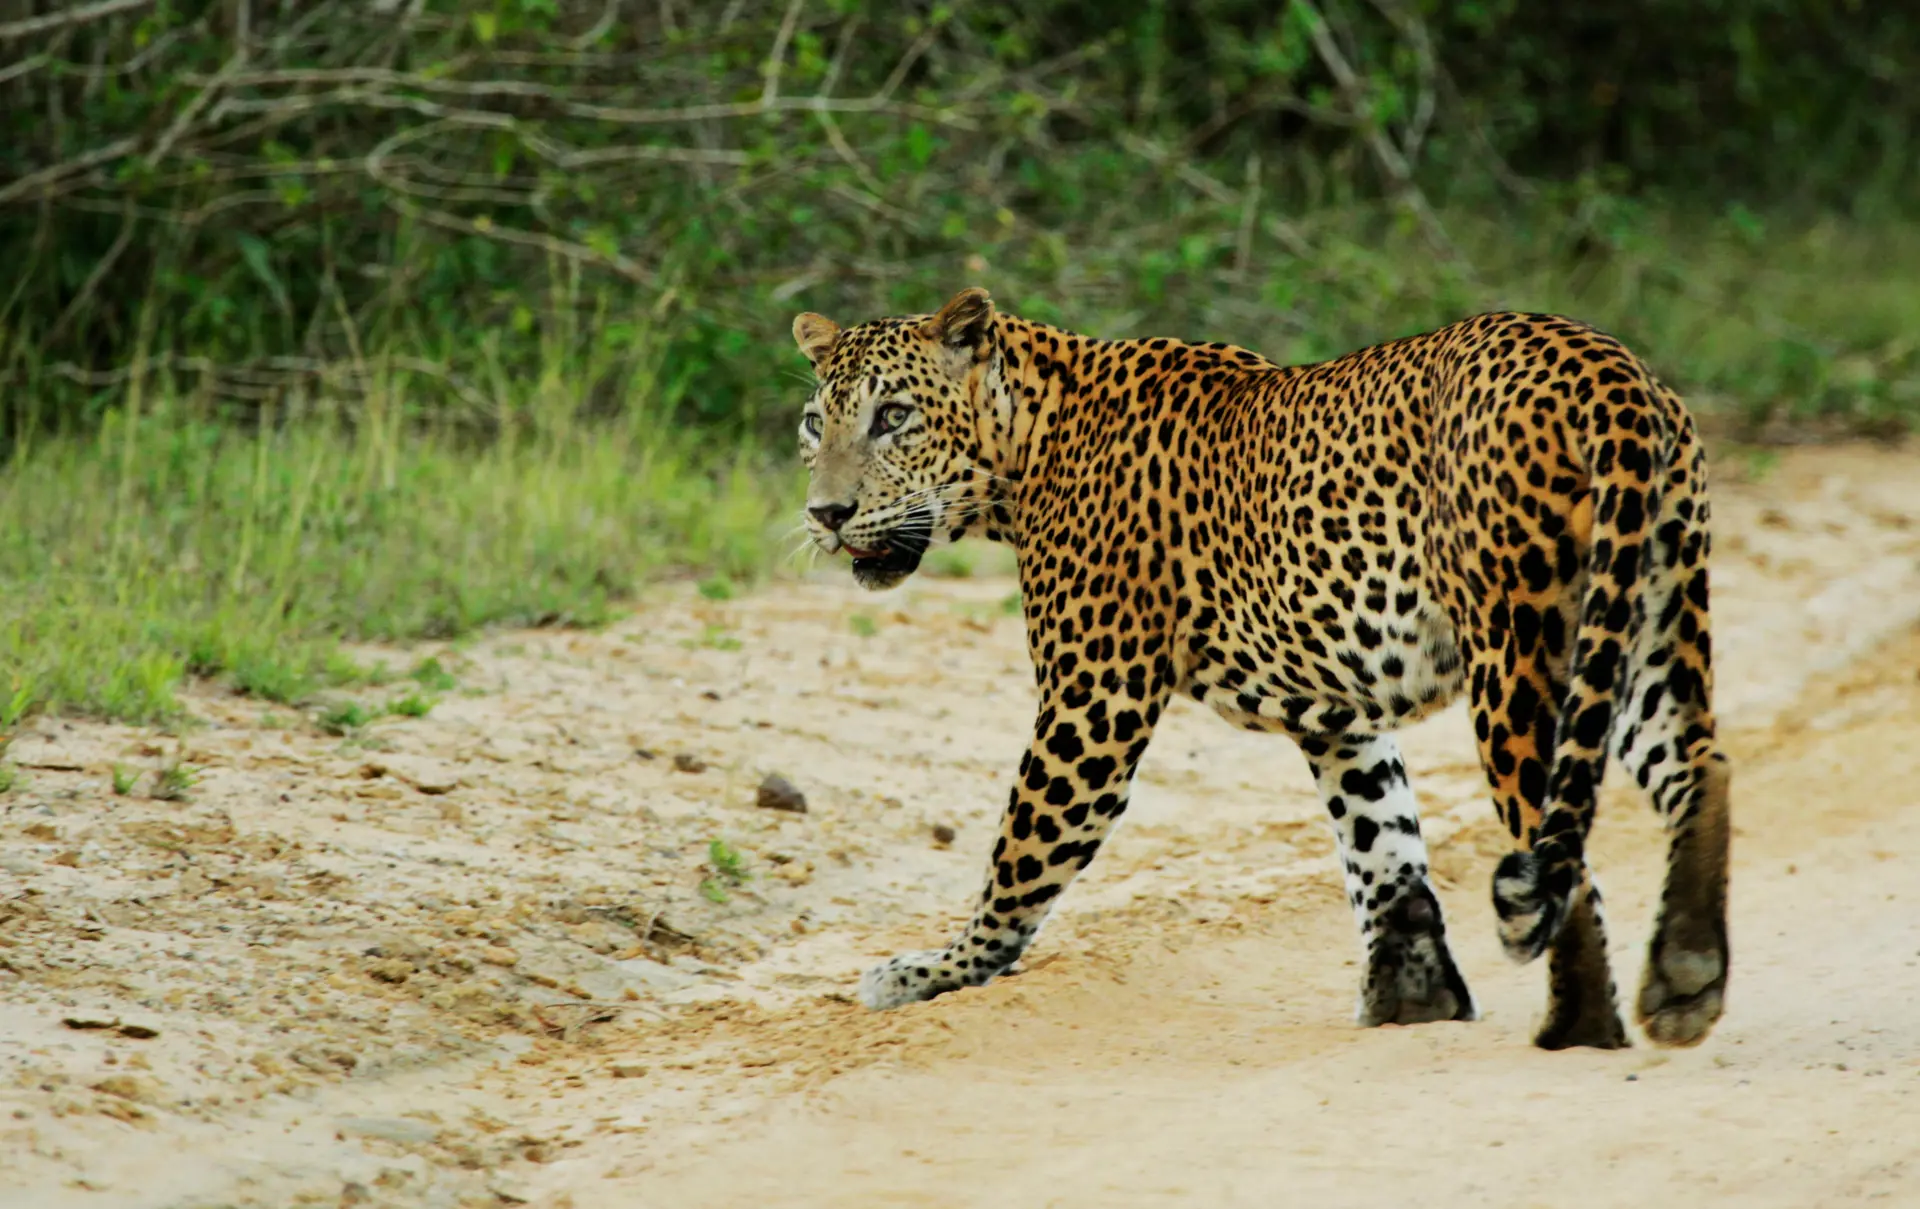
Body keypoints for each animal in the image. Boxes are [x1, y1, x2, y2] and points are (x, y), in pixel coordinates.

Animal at [790, 287, 1731, 1050]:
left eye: (893, 415)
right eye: (813, 423)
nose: (825, 513)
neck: (1027, 446)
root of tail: (1604, 365)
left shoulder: (1093, 698)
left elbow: (1021, 855)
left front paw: (937, 971)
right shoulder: (1335, 707)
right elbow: (1381, 839)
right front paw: (1413, 996)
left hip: (1521, 645)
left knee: (1558, 837)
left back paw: (1581, 1026)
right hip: (1646, 613)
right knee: (1699, 764)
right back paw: (1685, 977)